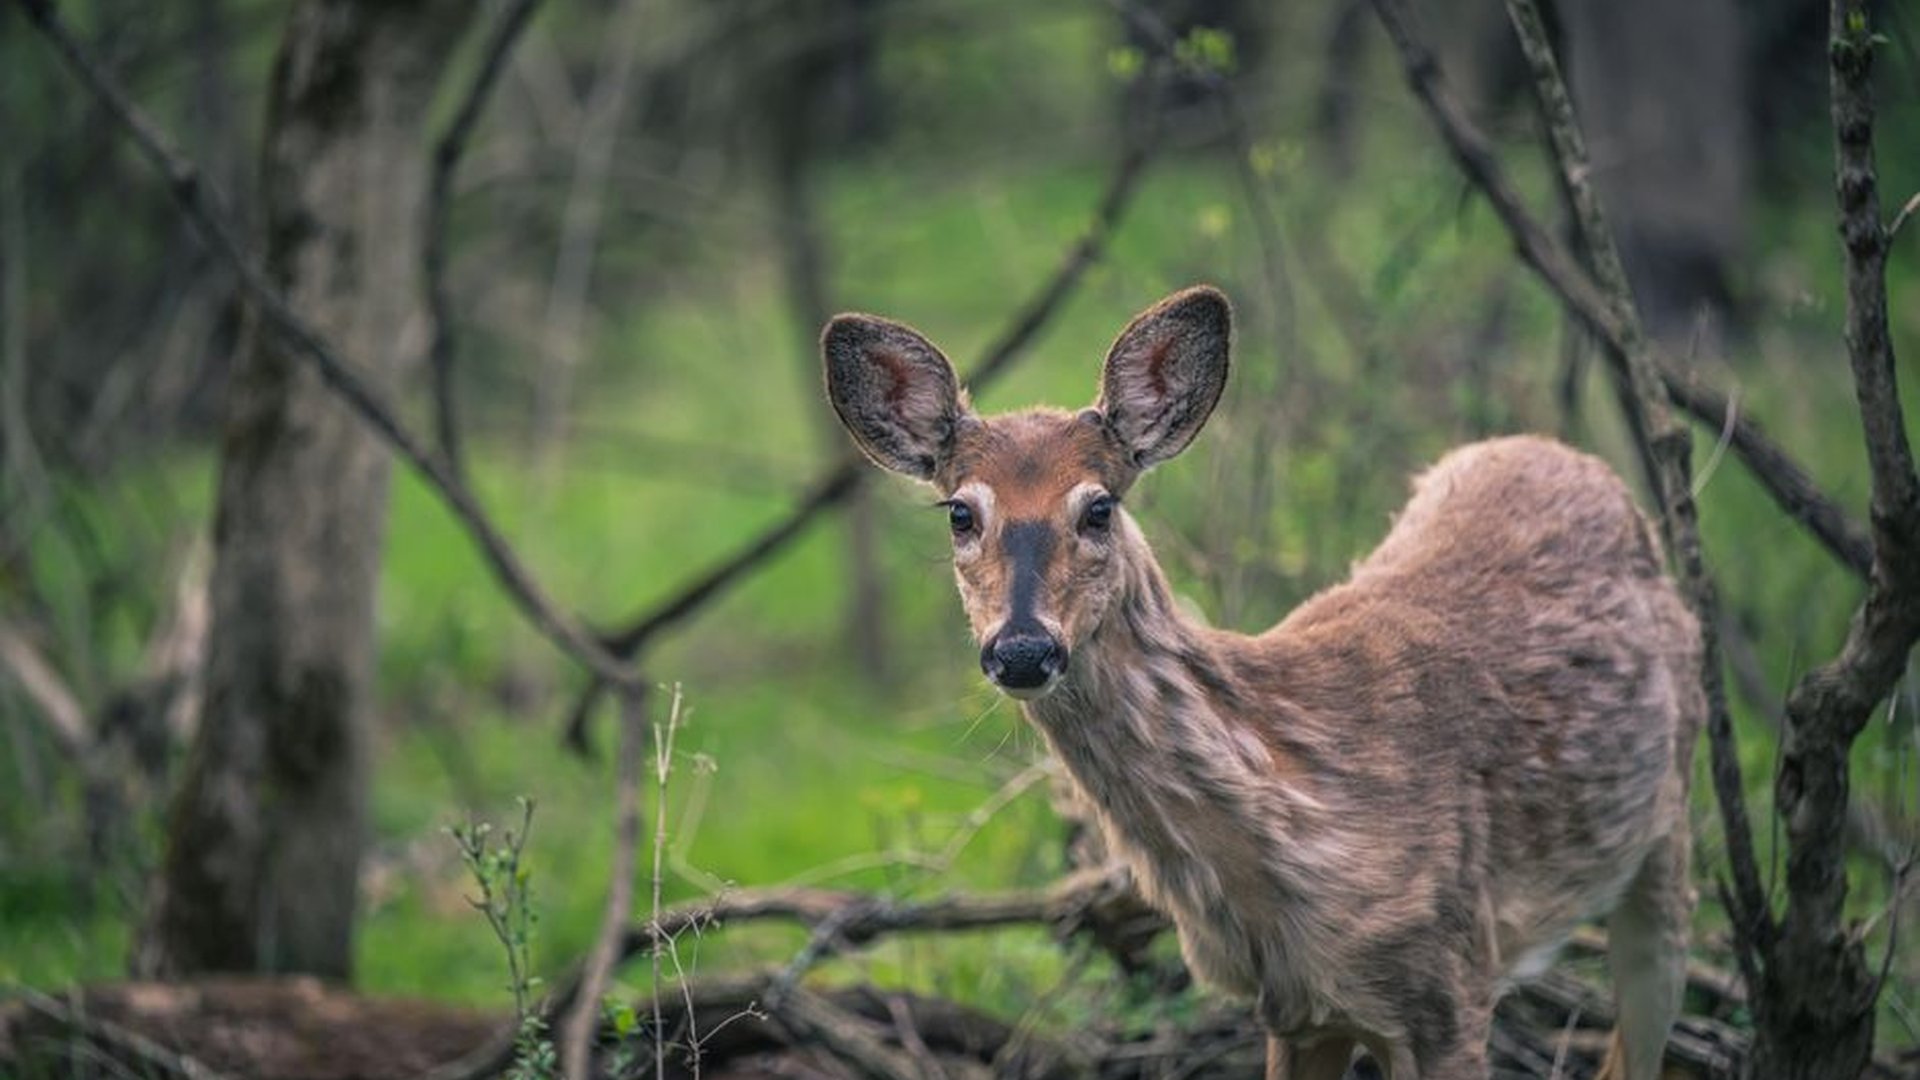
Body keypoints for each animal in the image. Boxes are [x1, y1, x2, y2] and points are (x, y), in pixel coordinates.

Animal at [821, 285, 1702, 1080]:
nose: (1023, 649)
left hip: (1667, 842)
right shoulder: (1294, 1006)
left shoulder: (1451, 980)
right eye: (959, 513)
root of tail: (1567, 455)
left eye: (1099, 507)